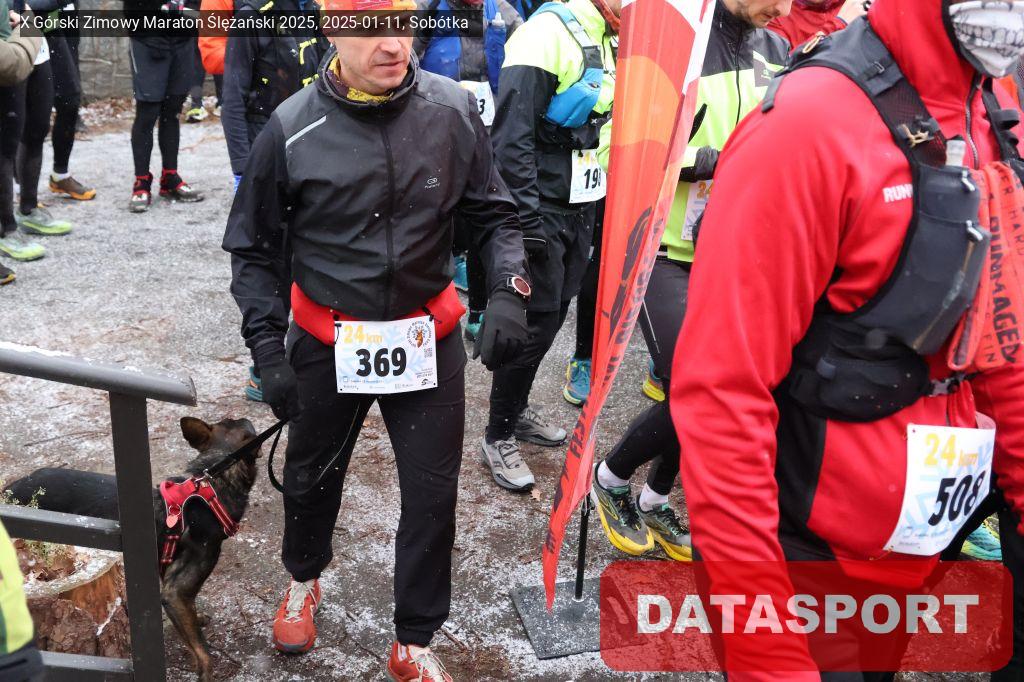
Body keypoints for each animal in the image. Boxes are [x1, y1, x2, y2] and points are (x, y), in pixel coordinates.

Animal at [5, 416, 261, 681]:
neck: (211, 489)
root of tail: (11, 488)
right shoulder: (174, 593)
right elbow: (203, 651)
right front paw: (206, 672)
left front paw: (197, 620)